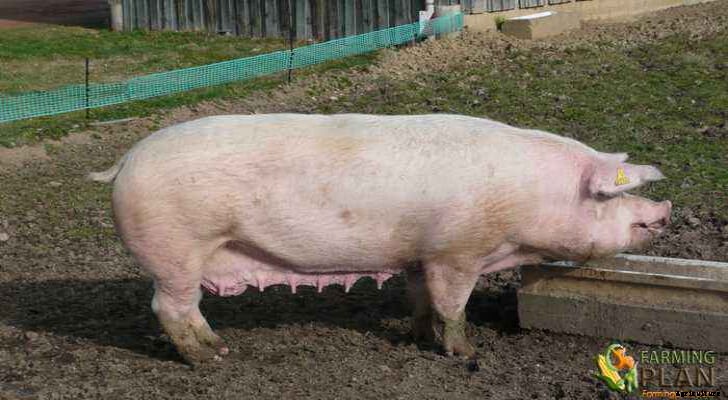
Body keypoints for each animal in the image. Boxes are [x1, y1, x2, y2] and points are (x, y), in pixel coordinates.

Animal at [88, 113, 671, 365]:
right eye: (608, 197)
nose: (664, 209)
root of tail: (125, 161)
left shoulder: (419, 255)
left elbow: (420, 299)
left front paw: (416, 337)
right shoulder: (457, 251)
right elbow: (454, 305)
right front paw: (464, 353)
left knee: (184, 308)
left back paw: (217, 347)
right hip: (175, 251)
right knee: (169, 308)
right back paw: (207, 359)